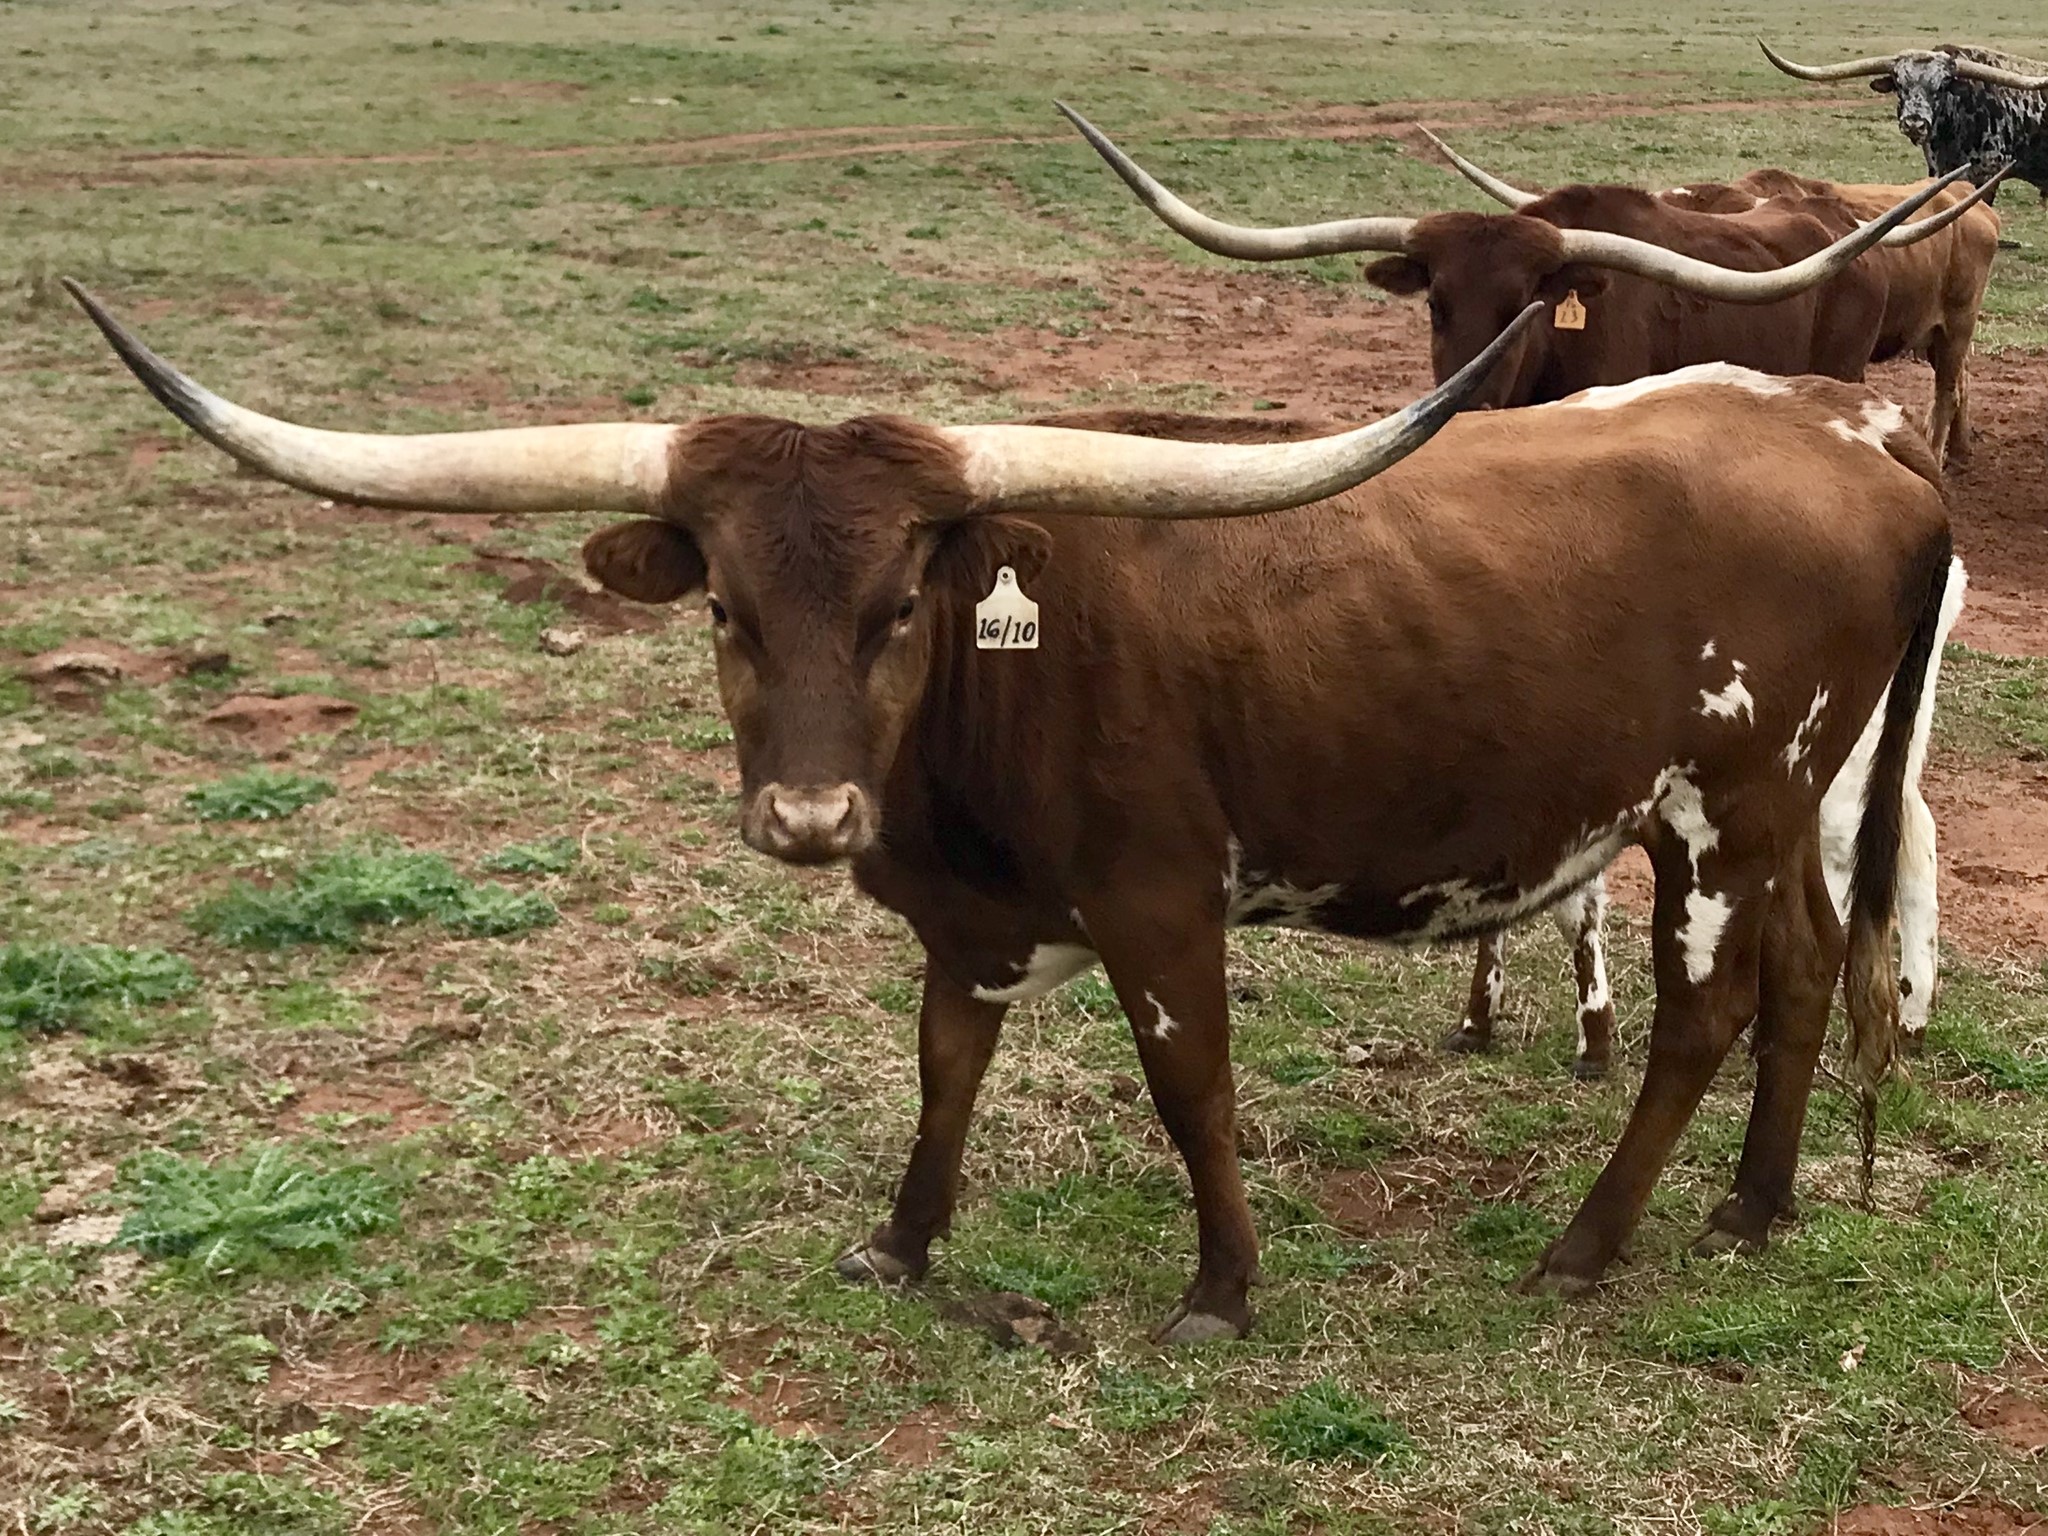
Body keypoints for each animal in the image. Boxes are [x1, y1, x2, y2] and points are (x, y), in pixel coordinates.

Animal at [67, 279, 1954, 1346]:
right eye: (725, 609)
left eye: (903, 603)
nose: (808, 816)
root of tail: (1855, 438)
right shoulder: (963, 919)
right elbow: (942, 1075)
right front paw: (901, 1247)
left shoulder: (1159, 902)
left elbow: (1191, 1094)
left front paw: (1220, 1292)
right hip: (1803, 797)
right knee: (1800, 976)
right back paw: (1754, 1208)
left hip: (1719, 801)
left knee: (1704, 1011)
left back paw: (1582, 1248)